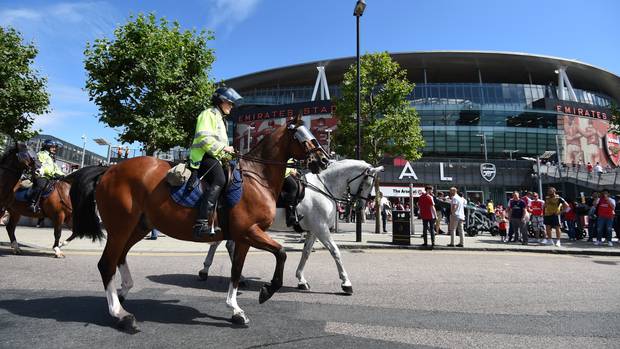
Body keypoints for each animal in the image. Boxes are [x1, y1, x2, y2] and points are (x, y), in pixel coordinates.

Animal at [68, 117, 332, 332]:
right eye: (303, 137)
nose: (324, 160)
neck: (258, 179)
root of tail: (108, 170)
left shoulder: (244, 237)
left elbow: (237, 271)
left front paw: (235, 310)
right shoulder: (250, 231)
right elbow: (281, 252)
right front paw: (267, 291)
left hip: (138, 226)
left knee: (119, 257)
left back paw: (123, 293)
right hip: (120, 226)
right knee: (107, 264)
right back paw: (121, 314)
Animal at [199, 160, 382, 294]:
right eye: (368, 183)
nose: (360, 206)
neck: (323, 187)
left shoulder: (314, 230)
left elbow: (306, 252)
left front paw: (301, 279)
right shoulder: (322, 229)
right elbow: (335, 252)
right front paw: (346, 283)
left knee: (226, 244)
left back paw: (237, 276)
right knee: (218, 243)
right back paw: (206, 270)